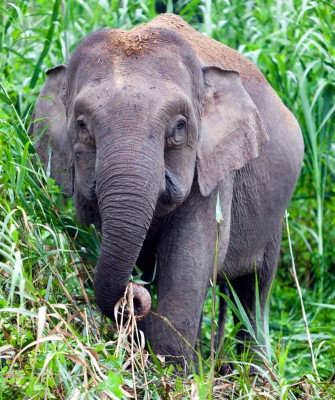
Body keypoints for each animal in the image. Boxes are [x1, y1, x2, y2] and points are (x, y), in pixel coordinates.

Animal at [30, 14, 304, 368]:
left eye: (178, 127)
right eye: (81, 125)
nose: (134, 297)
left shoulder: (213, 171)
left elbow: (189, 261)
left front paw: (168, 368)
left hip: (273, 220)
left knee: (255, 288)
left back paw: (252, 369)